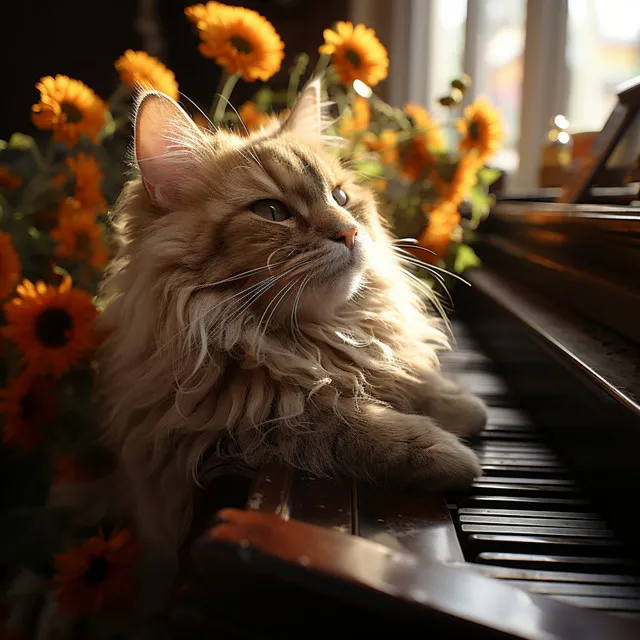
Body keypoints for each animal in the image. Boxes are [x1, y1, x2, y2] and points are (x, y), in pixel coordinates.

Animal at [96, 79, 484, 552]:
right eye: (271, 212)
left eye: (341, 197)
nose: (350, 231)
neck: (311, 338)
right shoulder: (230, 429)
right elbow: (340, 423)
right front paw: (448, 450)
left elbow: (411, 379)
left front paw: (464, 406)